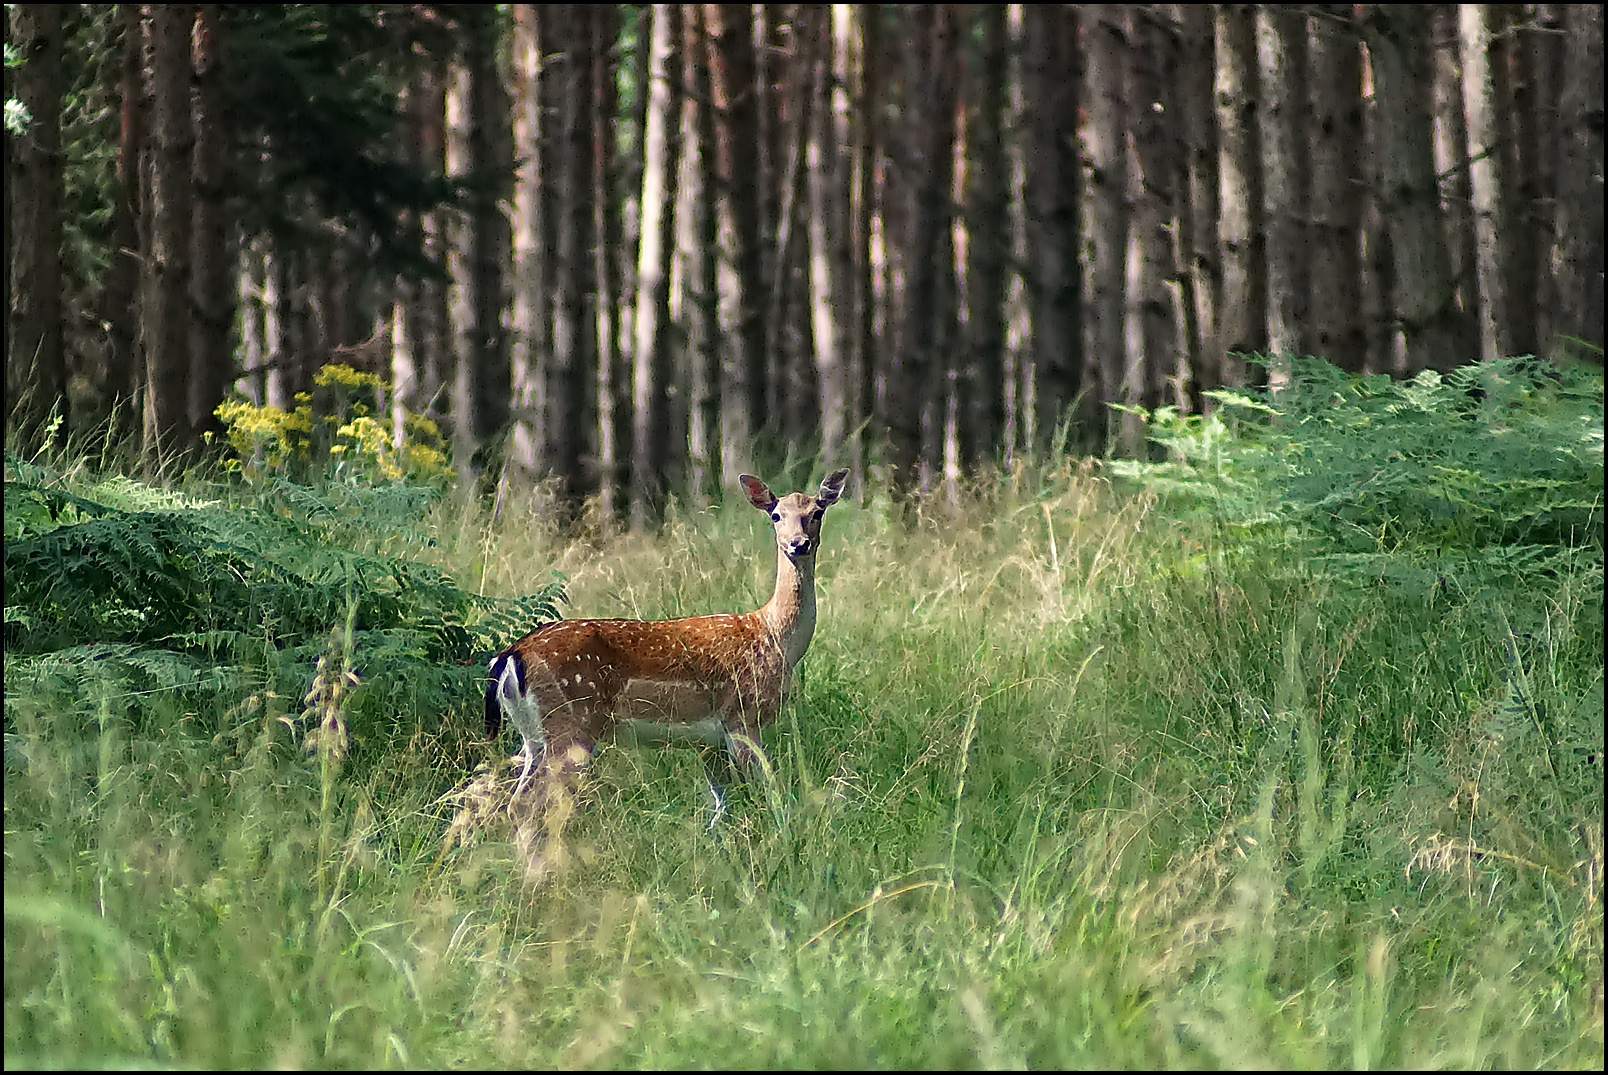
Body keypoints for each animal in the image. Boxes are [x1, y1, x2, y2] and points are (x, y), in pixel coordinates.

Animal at [479, 465, 849, 829]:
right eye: (776, 515)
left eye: (817, 512)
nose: (798, 544)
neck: (775, 637)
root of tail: (510, 657)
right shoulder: (742, 716)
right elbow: (770, 792)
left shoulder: (709, 740)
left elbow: (720, 810)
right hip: (571, 724)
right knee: (531, 803)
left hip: (534, 736)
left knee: (517, 802)